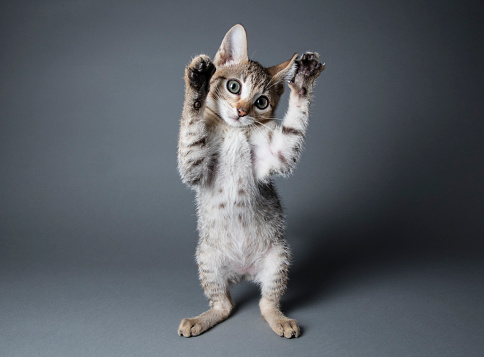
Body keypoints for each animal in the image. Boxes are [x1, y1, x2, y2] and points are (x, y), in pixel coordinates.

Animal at [176, 24, 324, 336]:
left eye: (261, 102)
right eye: (234, 86)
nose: (242, 111)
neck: (234, 132)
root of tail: (243, 273)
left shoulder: (277, 155)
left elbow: (292, 131)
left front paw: (303, 80)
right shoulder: (192, 165)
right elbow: (190, 128)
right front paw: (197, 83)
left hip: (278, 257)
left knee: (265, 302)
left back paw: (280, 320)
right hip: (207, 258)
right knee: (224, 305)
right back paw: (200, 319)